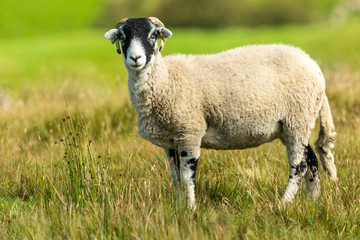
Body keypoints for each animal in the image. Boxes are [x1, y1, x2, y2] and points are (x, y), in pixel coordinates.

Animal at [104, 16, 338, 208]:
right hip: (290, 126)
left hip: (298, 117)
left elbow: (188, 178)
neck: (166, 79)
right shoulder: (170, 142)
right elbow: (176, 178)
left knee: (298, 165)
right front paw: (179, 208)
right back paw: (313, 200)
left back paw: (283, 204)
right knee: (311, 158)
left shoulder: (189, 133)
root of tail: (313, 65)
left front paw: (191, 211)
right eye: (122, 36)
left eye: (153, 35)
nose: (136, 58)